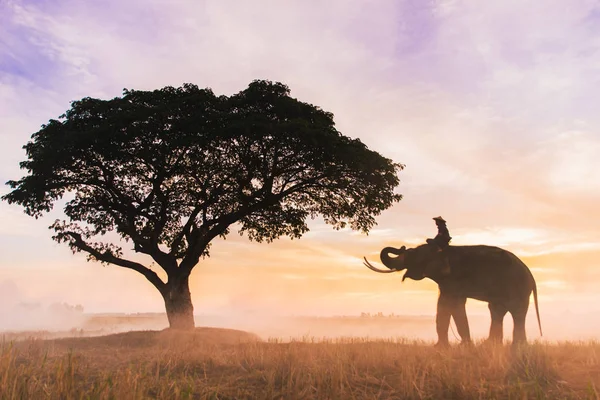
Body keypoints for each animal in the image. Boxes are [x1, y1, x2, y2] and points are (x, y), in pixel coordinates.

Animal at [364, 242, 540, 346]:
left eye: (412, 255)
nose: (401, 247)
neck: (441, 250)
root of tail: (531, 276)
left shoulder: (454, 279)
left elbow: (449, 304)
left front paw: (452, 347)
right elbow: (449, 304)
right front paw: (453, 346)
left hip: (517, 288)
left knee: (516, 312)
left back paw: (517, 347)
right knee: (497, 311)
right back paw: (491, 345)